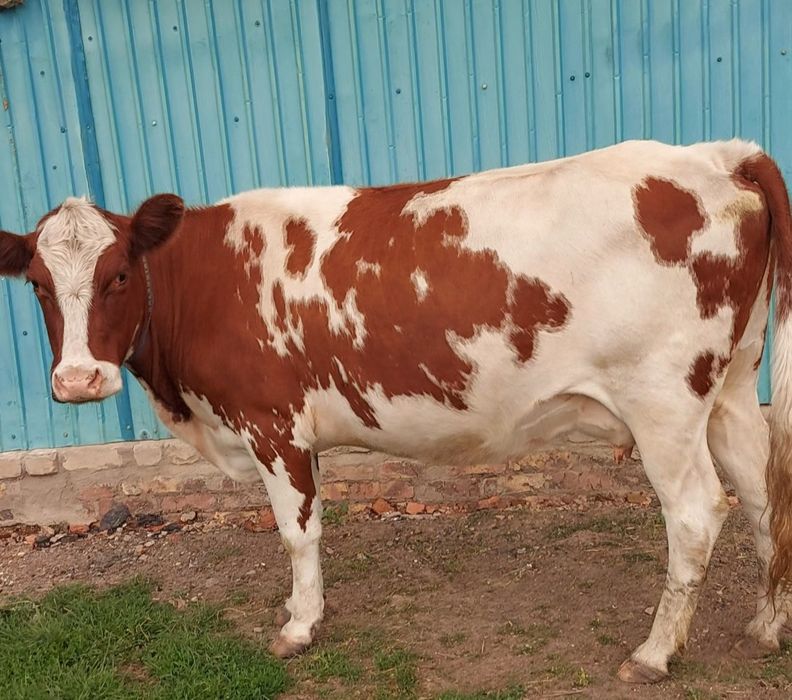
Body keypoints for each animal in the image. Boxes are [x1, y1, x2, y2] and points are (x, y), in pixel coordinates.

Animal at [0, 139, 790, 683]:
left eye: (119, 274)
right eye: (37, 283)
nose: (77, 380)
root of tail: (715, 153)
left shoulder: (272, 422)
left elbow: (296, 533)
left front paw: (299, 626)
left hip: (663, 401)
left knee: (697, 514)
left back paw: (654, 653)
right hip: (729, 389)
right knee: (762, 495)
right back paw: (765, 624)